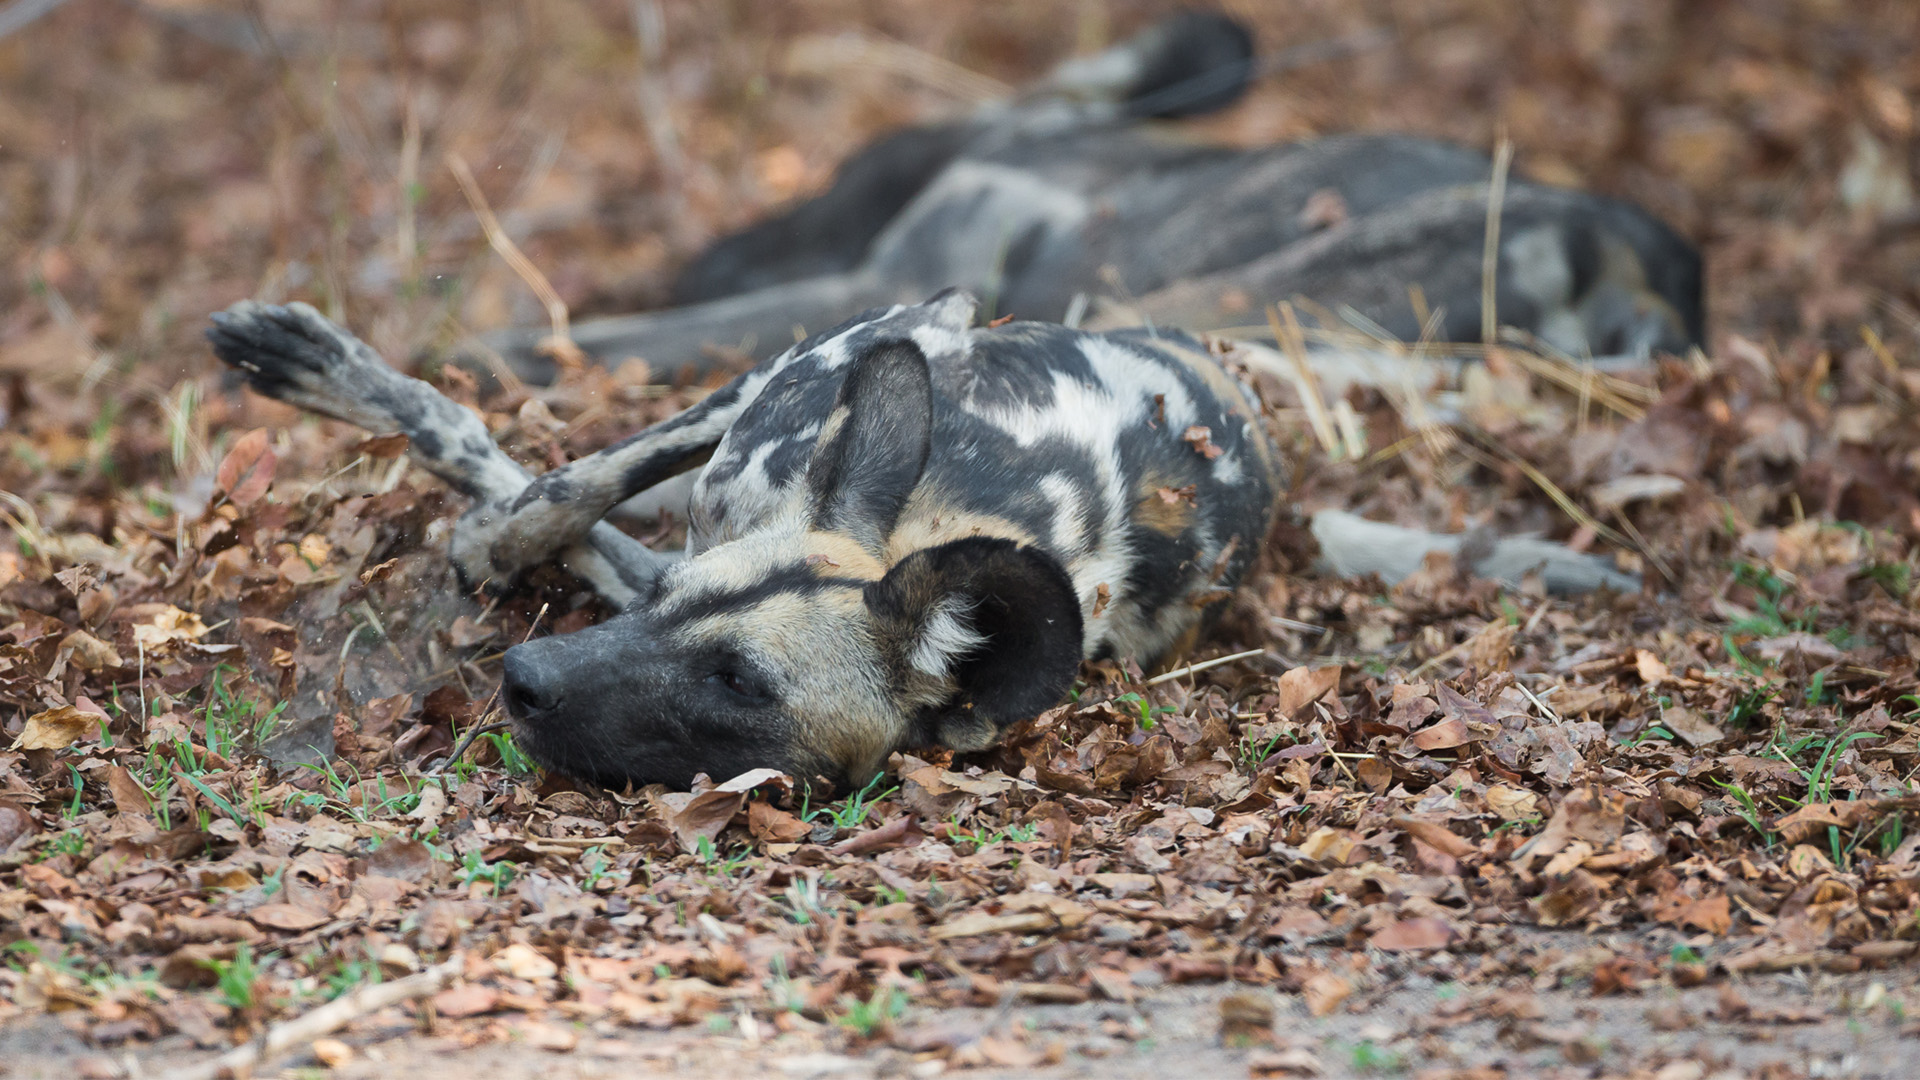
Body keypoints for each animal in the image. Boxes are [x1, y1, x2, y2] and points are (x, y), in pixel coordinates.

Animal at [198, 290, 1635, 787]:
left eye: (740, 684)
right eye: (686, 632)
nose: (526, 681)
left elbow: (572, 526)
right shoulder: (825, 380)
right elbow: (563, 492)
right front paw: (484, 531)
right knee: (579, 479)